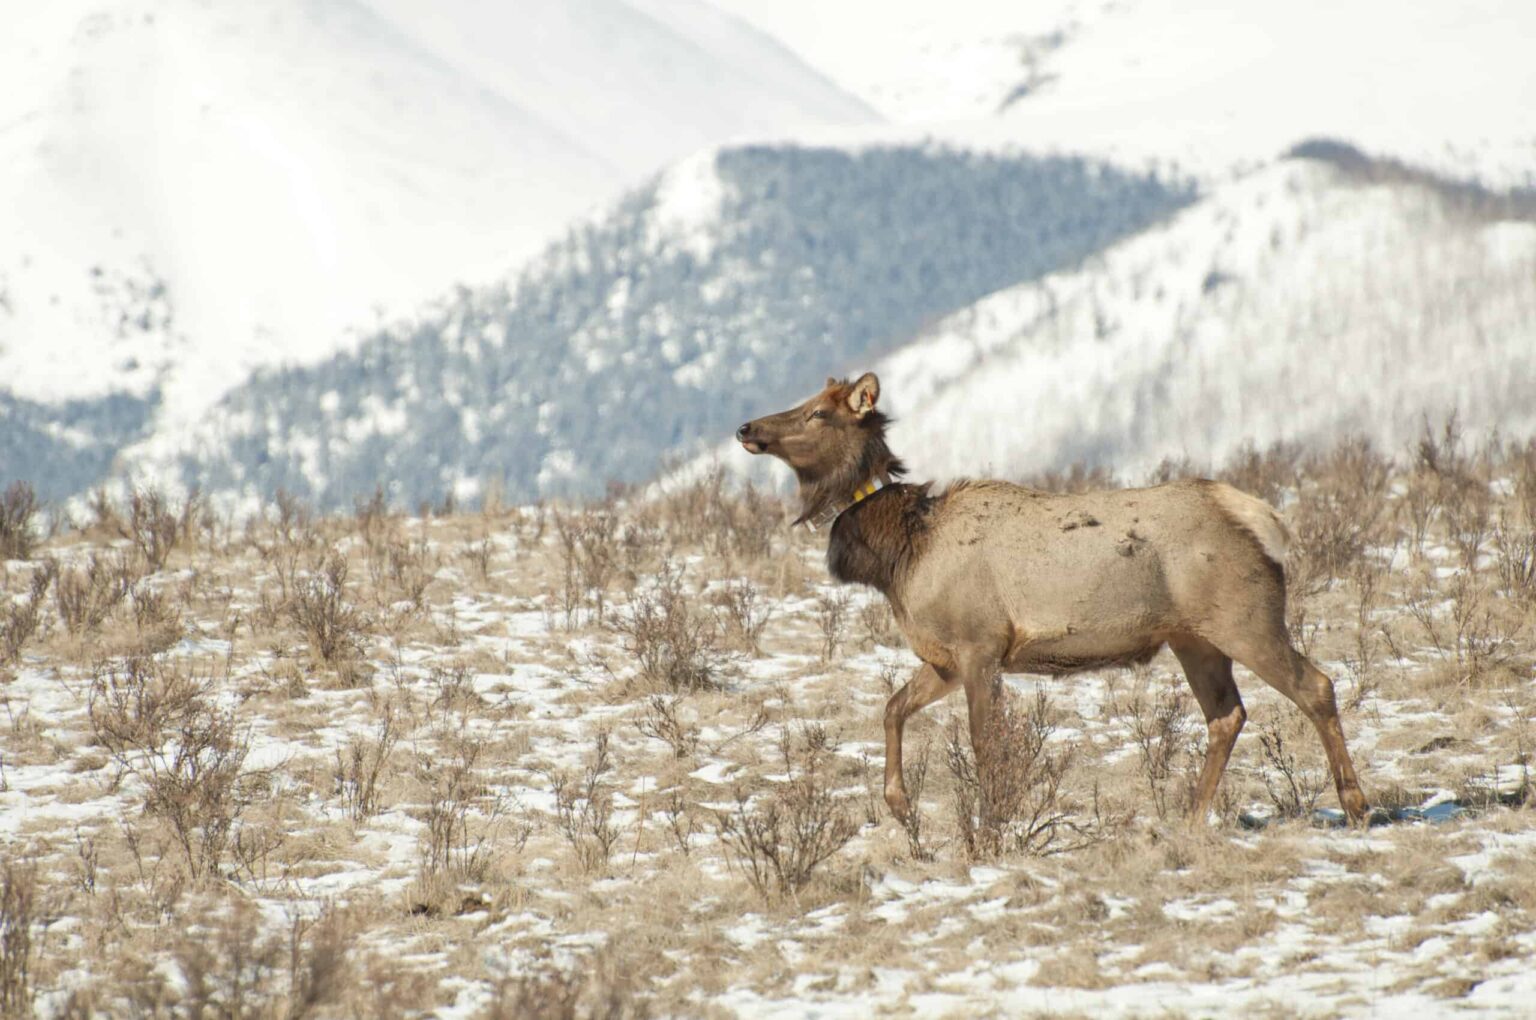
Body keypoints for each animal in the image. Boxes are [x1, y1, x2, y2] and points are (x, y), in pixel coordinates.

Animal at [736, 373, 1370, 826]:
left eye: (818, 412)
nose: (745, 427)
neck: (901, 555)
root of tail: (1259, 517)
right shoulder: (944, 657)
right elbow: (892, 708)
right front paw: (900, 804)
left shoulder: (980, 644)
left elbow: (985, 743)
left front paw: (991, 823)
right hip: (1194, 639)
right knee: (1226, 715)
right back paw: (1190, 820)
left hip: (1244, 618)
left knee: (1316, 685)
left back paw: (1356, 804)